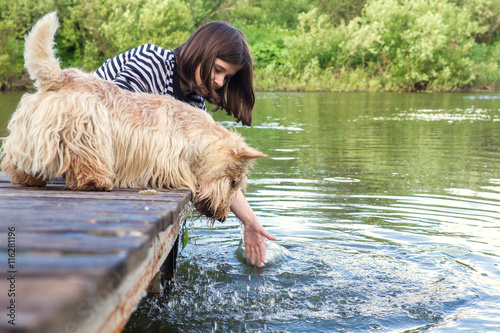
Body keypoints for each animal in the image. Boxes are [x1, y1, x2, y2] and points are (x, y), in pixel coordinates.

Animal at [0, 12, 266, 223]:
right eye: (233, 182)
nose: (222, 216)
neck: (194, 134)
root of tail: (61, 76)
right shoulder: (165, 157)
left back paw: (28, 177)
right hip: (87, 130)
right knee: (86, 160)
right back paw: (96, 182)